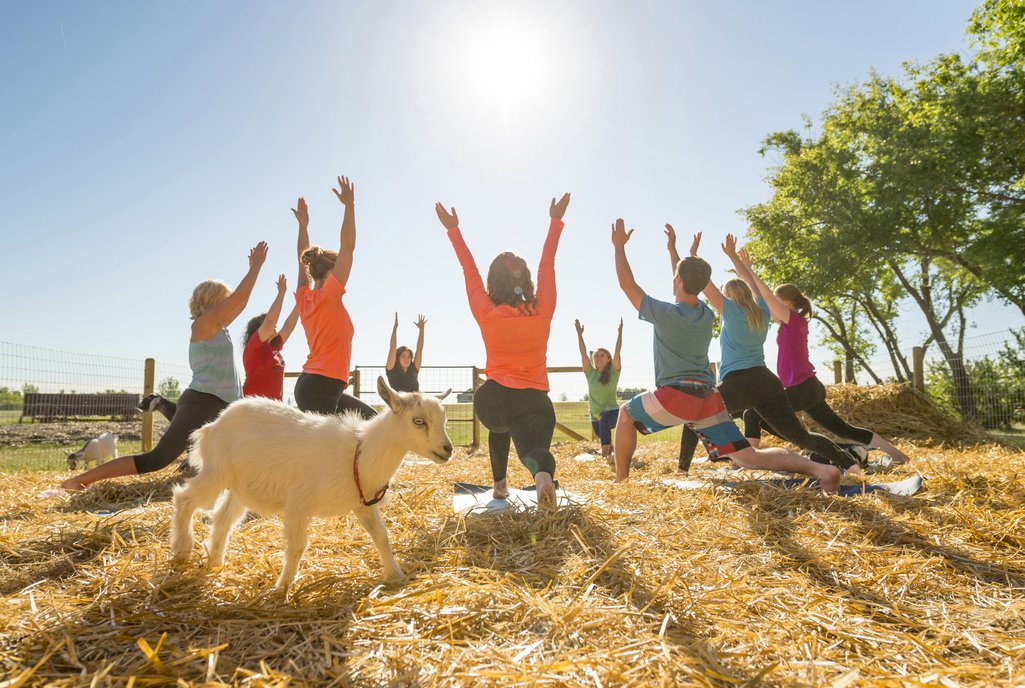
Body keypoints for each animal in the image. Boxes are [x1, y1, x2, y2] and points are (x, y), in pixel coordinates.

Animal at [170, 377, 451, 590]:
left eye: (444, 419)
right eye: (418, 421)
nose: (447, 450)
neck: (359, 452)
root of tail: (212, 426)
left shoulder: (364, 504)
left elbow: (382, 537)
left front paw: (395, 575)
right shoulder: (298, 503)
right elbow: (297, 546)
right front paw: (282, 587)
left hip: (240, 487)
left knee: (223, 519)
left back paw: (215, 562)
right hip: (216, 472)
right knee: (185, 498)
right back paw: (182, 550)